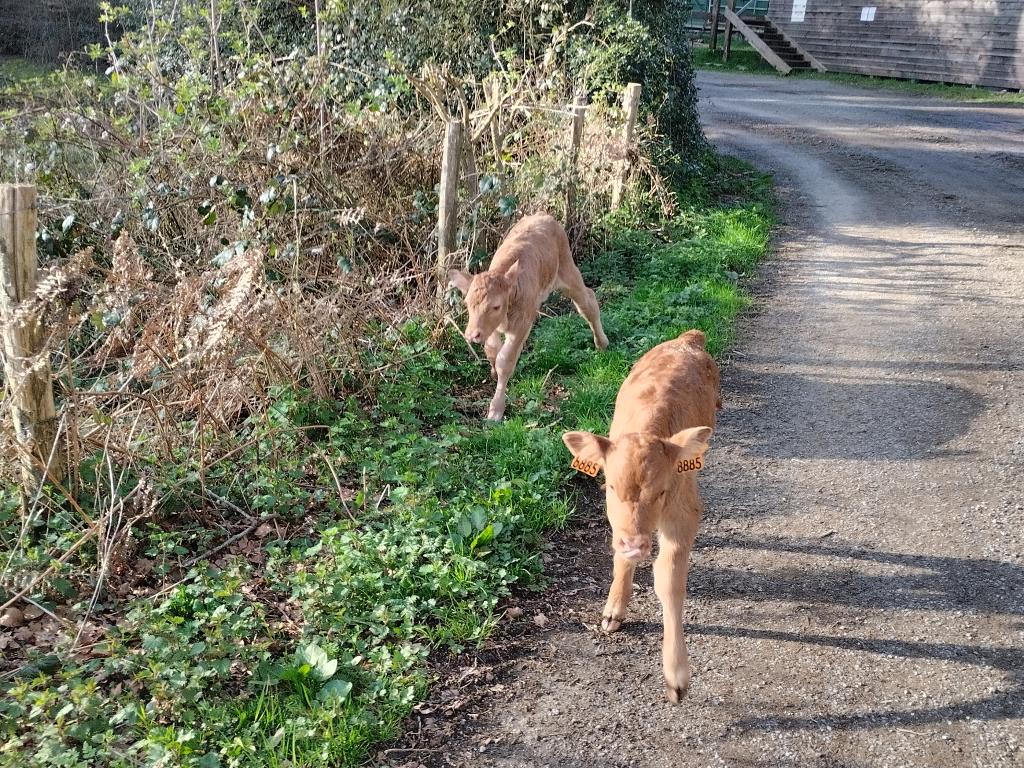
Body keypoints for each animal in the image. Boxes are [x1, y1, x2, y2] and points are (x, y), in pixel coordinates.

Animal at [450, 214, 606, 423]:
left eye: (496, 306)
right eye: (467, 303)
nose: (472, 335)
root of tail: (543, 215)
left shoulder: (522, 323)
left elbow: (505, 361)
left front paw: (496, 410)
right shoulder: (490, 328)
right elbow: (492, 351)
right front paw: (493, 371)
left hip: (567, 270)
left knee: (587, 301)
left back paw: (602, 343)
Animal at [561, 331, 720, 704]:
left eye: (661, 491)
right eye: (610, 485)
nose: (635, 543)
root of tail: (688, 338)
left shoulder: (682, 514)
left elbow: (669, 581)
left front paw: (676, 674)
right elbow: (620, 557)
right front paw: (614, 609)